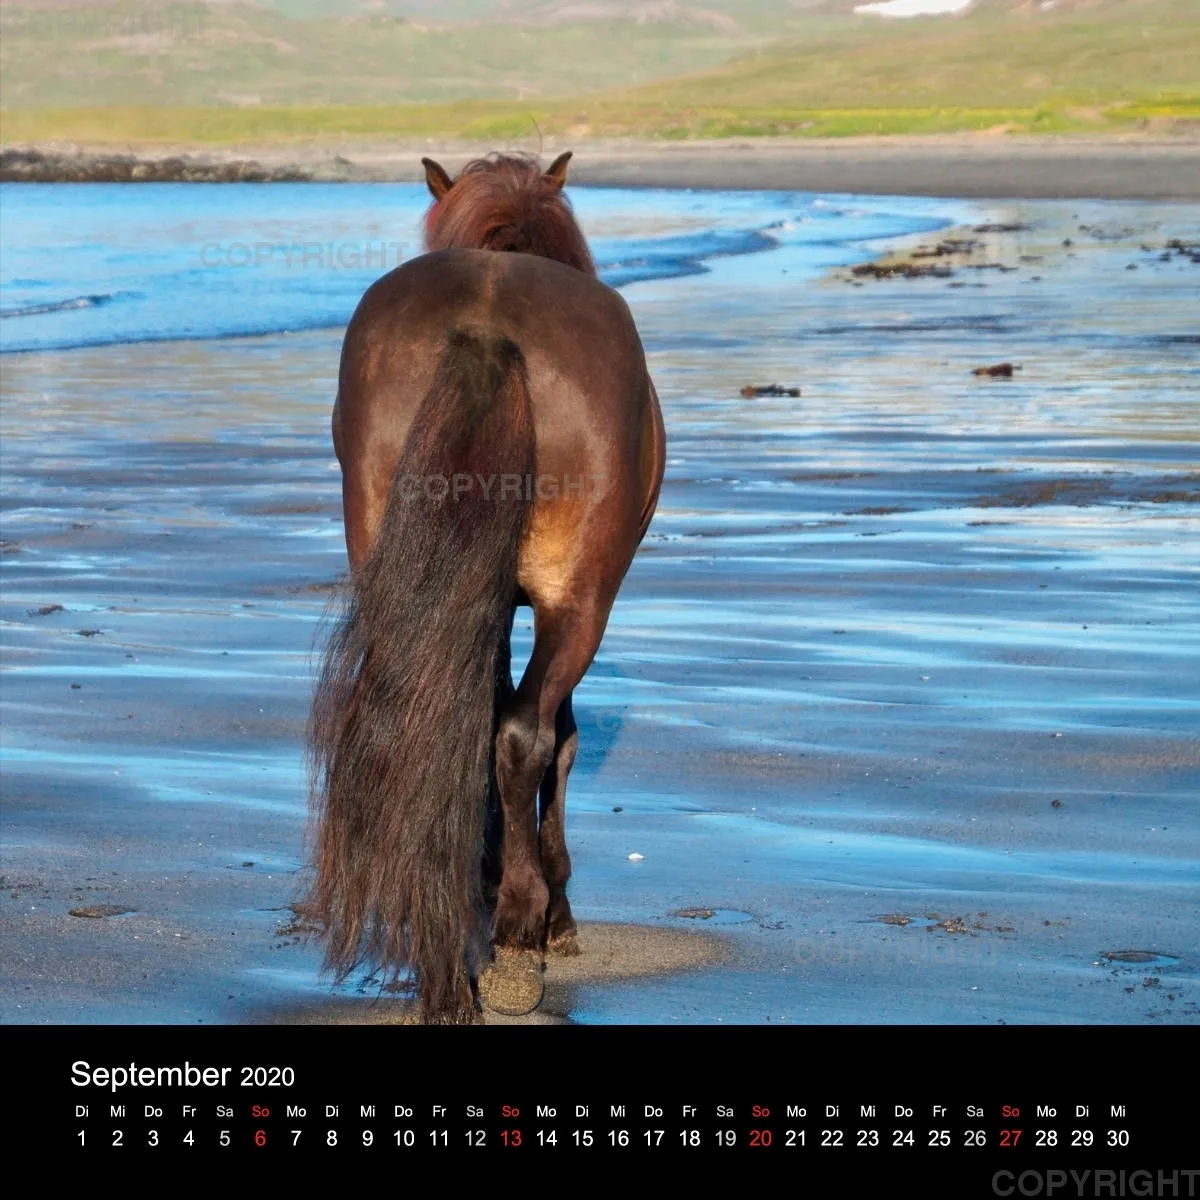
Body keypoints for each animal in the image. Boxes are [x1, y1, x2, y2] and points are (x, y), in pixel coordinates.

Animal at [306, 151, 666, 1023]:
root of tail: (486, 327)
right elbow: (557, 739)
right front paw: (549, 912)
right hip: (581, 601)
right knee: (524, 733)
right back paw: (515, 938)